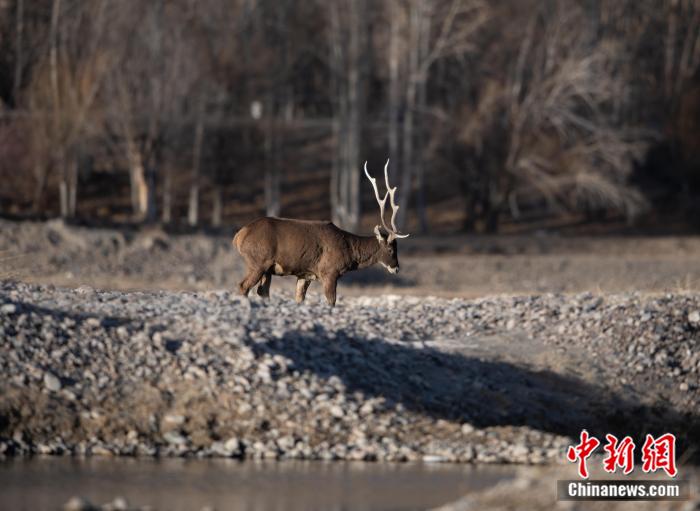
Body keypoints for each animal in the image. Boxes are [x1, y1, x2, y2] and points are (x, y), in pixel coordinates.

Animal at [234, 158, 410, 306]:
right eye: (391, 249)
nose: (396, 268)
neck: (350, 252)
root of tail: (238, 236)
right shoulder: (329, 271)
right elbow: (331, 302)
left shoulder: (305, 274)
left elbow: (299, 299)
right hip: (257, 261)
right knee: (243, 286)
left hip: (267, 268)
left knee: (262, 291)